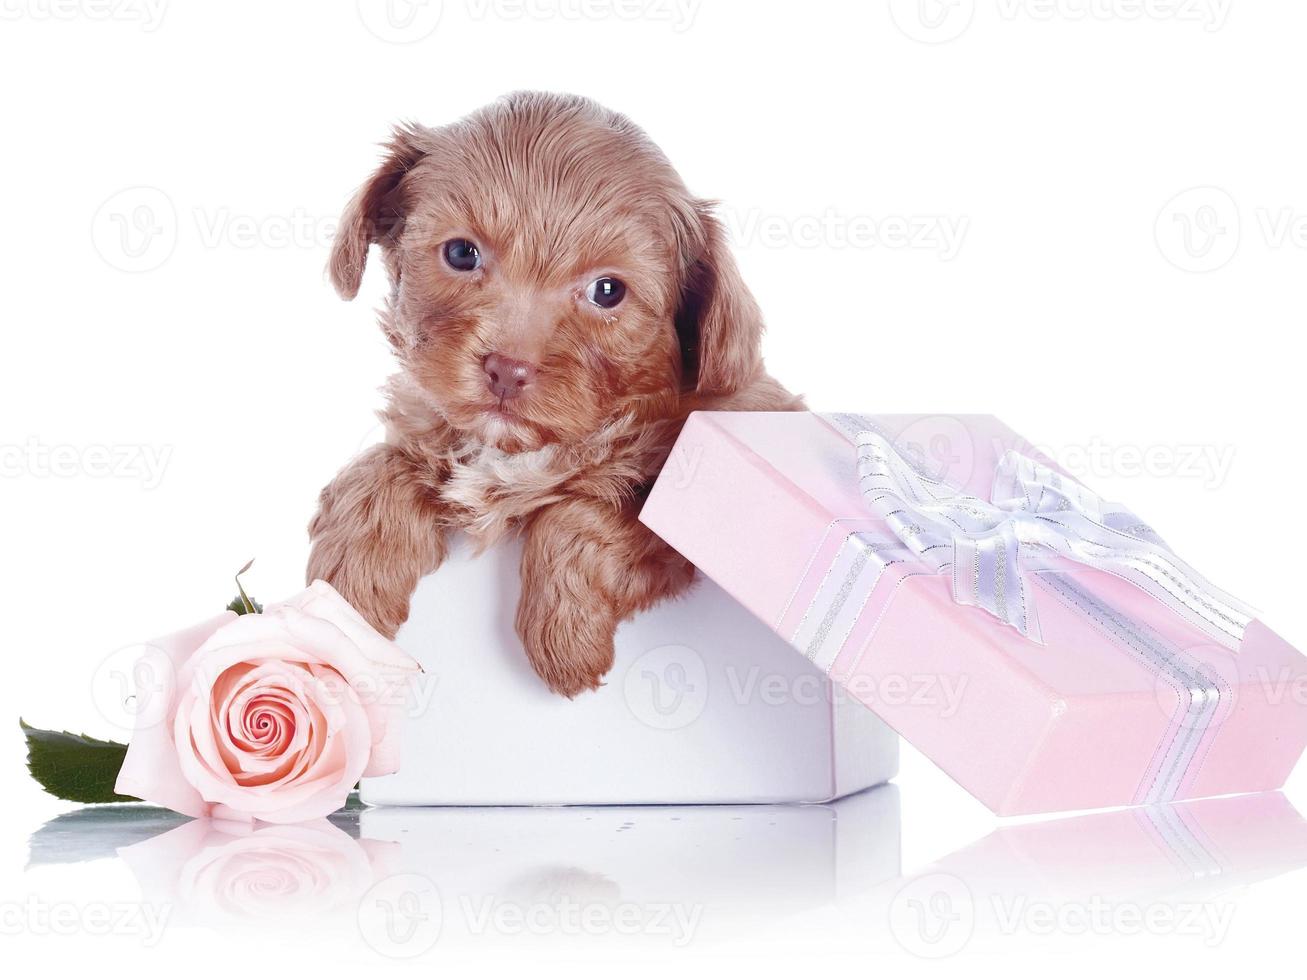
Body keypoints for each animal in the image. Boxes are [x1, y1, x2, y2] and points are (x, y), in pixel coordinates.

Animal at [311, 90, 799, 689]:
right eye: (461, 254)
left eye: (607, 291)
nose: (507, 369)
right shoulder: (425, 426)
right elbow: (379, 466)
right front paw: (346, 592)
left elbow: (585, 512)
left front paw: (567, 632)